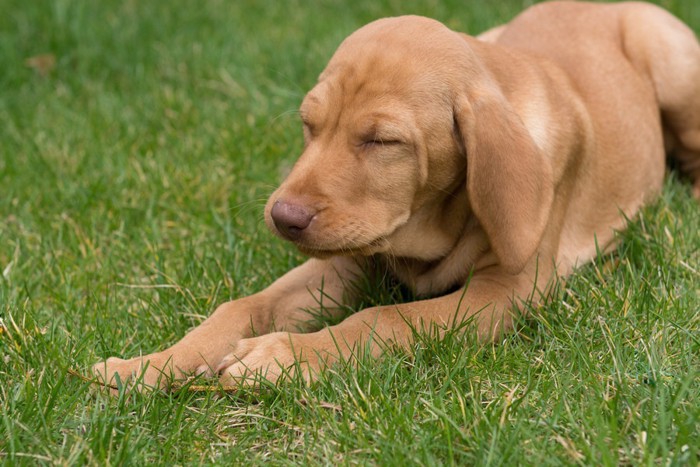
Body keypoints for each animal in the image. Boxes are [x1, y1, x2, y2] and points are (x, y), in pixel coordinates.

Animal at [93, 1, 700, 392]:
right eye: (309, 125)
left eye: (382, 141)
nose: (284, 218)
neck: (430, 227)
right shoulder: (345, 261)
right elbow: (242, 306)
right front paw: (150, 366)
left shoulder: (506, 292)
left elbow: (383, 319)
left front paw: (283, 356)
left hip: (674, 68)